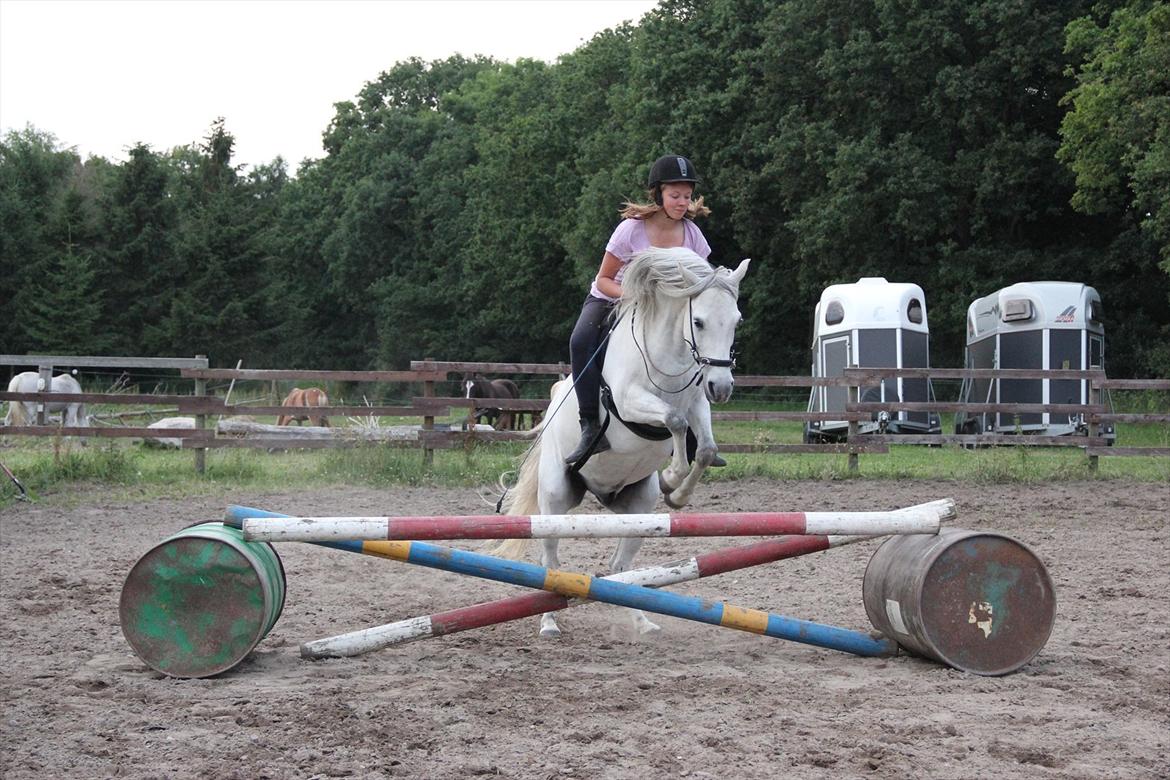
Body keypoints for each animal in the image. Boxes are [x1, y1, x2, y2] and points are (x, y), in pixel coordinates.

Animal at [496, 246, 748, 636]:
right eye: (699, 322)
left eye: (736, 321)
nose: (721, 387)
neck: (668, 359)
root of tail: (601, 493)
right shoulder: (631, 401)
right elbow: (674, 421)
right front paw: (672, 476)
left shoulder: (697, 403)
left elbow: (705, 448)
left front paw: (676, 493)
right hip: (555, 498)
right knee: (550, 559)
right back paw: (549, 623)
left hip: (638, 509)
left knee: (620, 568)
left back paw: (641, 621)